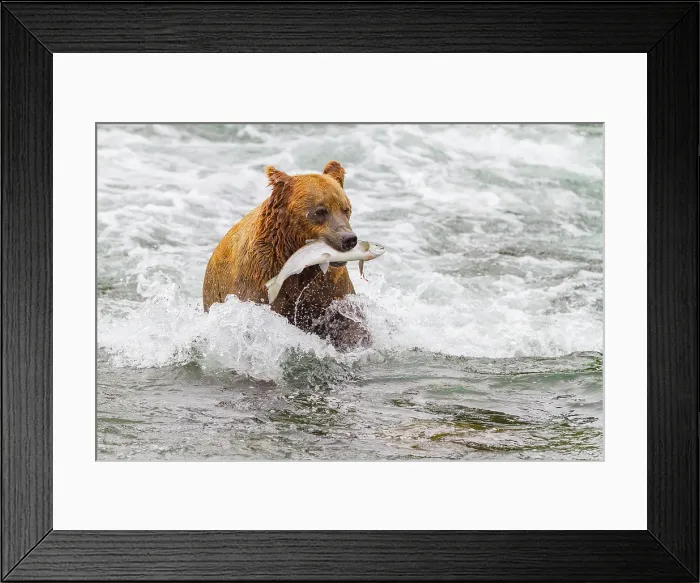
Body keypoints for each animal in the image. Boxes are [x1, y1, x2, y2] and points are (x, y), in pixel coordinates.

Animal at [202, 160, 370, 349]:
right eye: (320, 211)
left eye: (346, 209)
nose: (348, 239)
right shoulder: (259, 280)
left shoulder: (328, 286)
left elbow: (347, 319)